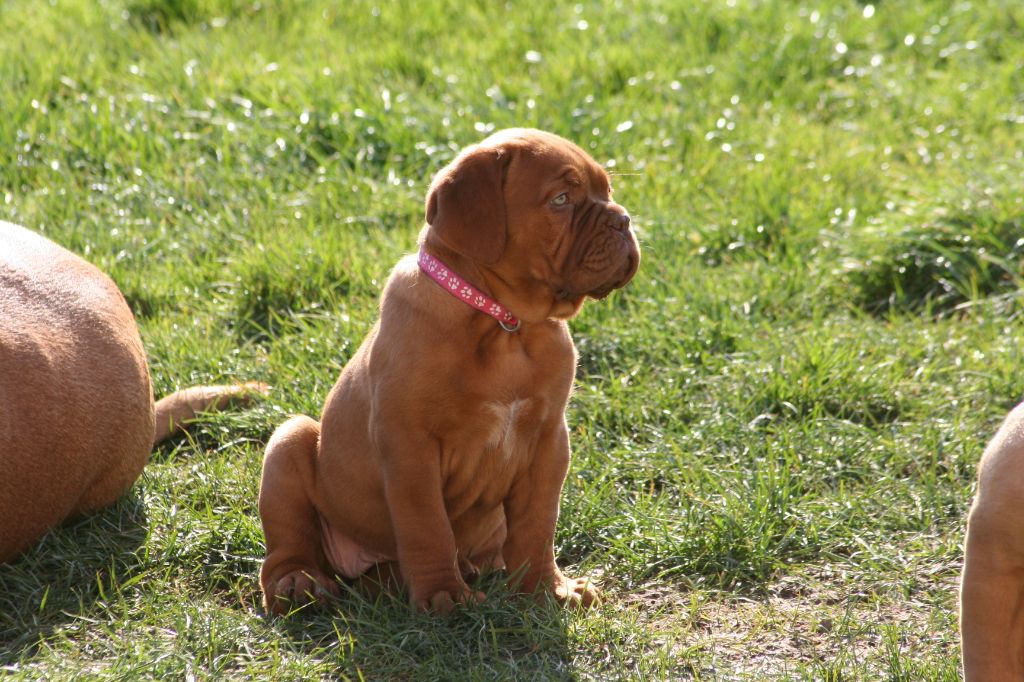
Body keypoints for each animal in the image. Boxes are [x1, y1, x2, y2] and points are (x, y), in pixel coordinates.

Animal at [258, 128, 640, 614]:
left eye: (607, 192)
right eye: (560, 200)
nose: (624, 220)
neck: (503, 324)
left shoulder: (549, 440)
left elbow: (537, 524)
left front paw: (546, 589)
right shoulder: (410, 445)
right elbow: (428, 526)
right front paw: (445, 597)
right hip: (289, 441)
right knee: (287, 546)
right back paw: (298, 583)